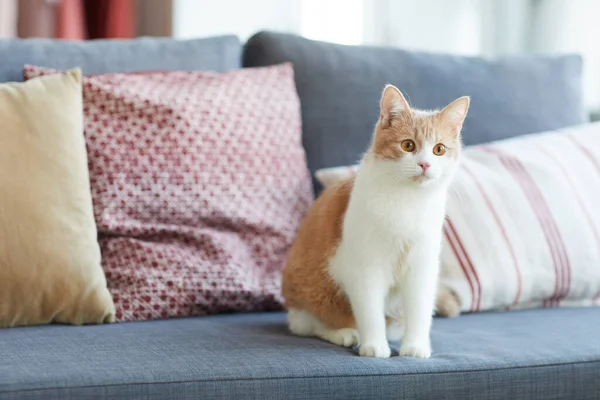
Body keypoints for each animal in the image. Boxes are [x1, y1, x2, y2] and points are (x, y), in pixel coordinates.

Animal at [282, 84, 468, 360]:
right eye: (408, 145)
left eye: (439, 149)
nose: (424, 164)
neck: (407, 202)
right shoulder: (366, 267)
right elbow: (369, 310)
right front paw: (374, 346)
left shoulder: (422, 265)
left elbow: (420, 310)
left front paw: (415, 346)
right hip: (311, 293)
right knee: (308, 324)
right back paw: (346, 334)